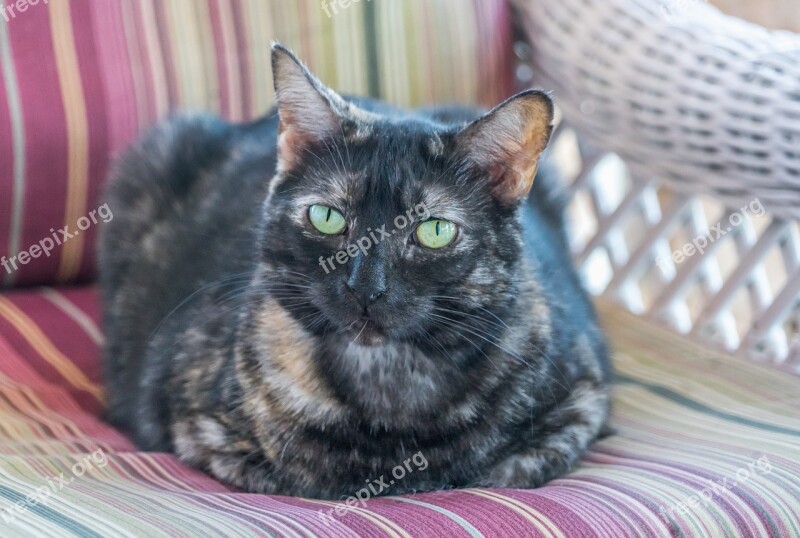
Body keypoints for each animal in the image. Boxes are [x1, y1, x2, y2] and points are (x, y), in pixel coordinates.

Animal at [100, 44, 612, 496]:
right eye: (326, 217)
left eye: (435, 231)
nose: (365, 288)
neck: (387, 380)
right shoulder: (201, 432)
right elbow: (299, 477)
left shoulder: (579, 408)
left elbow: (500, 472)